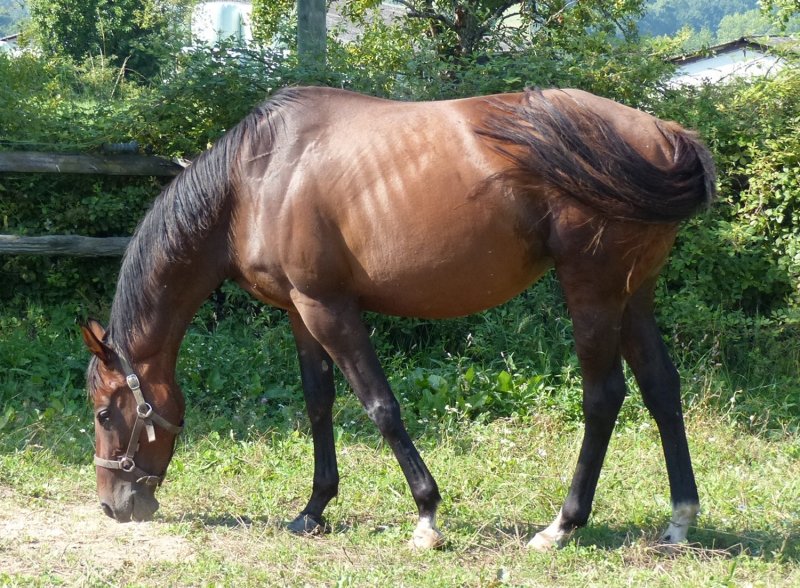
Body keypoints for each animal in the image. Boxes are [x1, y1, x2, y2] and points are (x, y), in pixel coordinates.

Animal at [81, 86, 715, 550]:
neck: (255, 178)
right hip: (634, 294)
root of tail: (664, 135)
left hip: (593, 289)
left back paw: (562, 524)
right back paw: (680, 519)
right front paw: (314, 509)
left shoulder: (329, 309)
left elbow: (380, 405)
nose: (112, 506)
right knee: (662, 388)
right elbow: (318, 402)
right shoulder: (299, 312)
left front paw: (427, 515)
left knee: (603, 396)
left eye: (105, 412)